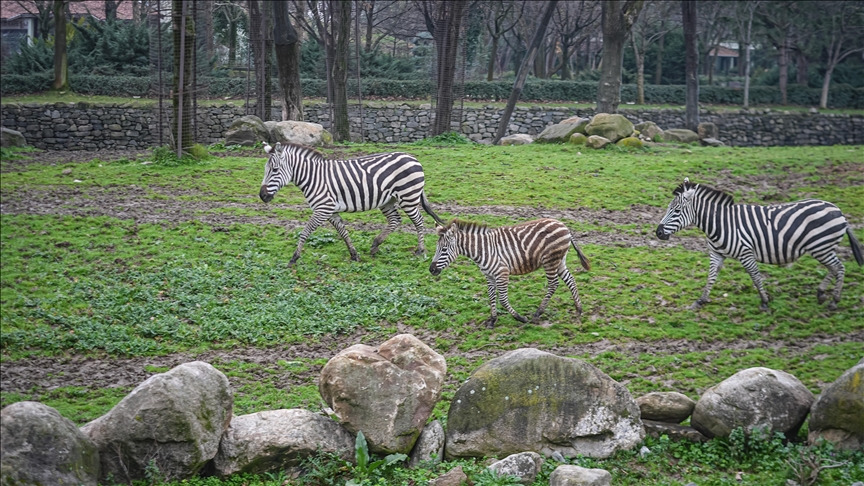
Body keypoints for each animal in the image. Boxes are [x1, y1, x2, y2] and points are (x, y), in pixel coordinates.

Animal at [259, 142, 444, 266]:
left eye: (274, 170)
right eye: (265, 170)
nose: (262, 196)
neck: (314, 178)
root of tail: (412, 157)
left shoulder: (323, 209)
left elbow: (305, 232)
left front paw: (294, 257)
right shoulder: (331, 211)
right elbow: (343, 232)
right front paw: (354, 254)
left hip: (408, 197)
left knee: (419, 221)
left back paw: (420, 251)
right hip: (388, 200)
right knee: (395, 220)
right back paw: (375, 245)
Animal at [429, 218, 591, 327]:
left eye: (444, 249)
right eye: (437, 248)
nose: (431, 270)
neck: (482, 250)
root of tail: (564, 226)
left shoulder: (502, 273)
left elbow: (502, 299)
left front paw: (520, 318)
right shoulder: (489, 275)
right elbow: (491, 296)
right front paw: (493, 320)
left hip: (550, 261)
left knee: (553, 284)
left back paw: (537, 313)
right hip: (559, 260)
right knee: (570, 279)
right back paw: (579, 309)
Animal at [656, 178, 863, 311]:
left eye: (676, 211)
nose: (658, 232)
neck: (720, 223)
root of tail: (839, 211)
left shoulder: (745, 252)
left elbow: (755, 276)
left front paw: (764, 302)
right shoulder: (717, 253)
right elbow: (711, 277)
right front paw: (700, 301)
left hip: (821, 246)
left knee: (839, 267)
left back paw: (834, 301)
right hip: (822, 248)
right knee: (834, 268)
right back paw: (821, 294)